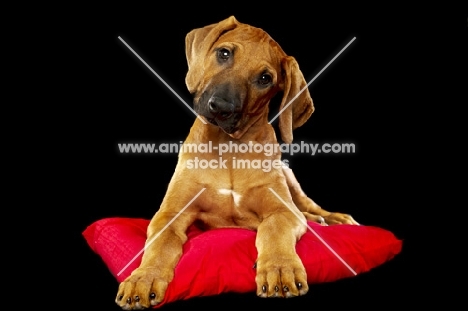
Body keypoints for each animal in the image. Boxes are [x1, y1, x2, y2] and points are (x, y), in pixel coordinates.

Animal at [117, 16, 358, 310]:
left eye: (265, 79)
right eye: (224, 53)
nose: (221, 108)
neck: (228, 148)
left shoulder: (282, 210)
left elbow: (273, 229)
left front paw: (279, 267)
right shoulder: (171, 213)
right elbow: (161, 243)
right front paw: (144, 277)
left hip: (290, 179)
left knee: (308, 207)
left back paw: (332, 218)